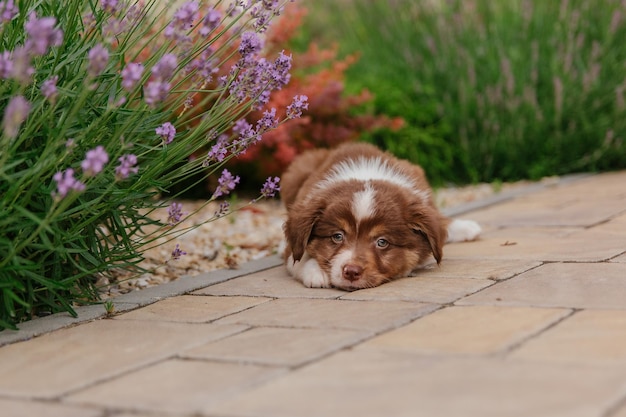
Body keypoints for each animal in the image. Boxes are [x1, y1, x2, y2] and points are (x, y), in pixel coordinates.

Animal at [280, 142, 480, 290]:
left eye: (382, 242)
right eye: (337, 236)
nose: (351, 272)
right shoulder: (293, 245)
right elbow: (298, 258)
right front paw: (316, 273)